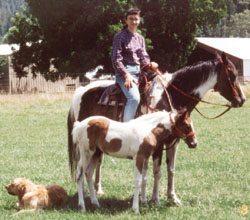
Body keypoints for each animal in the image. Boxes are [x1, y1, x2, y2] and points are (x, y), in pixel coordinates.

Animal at [67, 52, 245, 206]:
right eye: (231, 74)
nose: (242, 100)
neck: (170, 96)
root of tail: (80, 92)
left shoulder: (174, 141)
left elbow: (171, 169)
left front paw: (173, 197)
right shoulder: (158, 145)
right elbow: (157, 172)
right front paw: (155, 199)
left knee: (96, 163)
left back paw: (98, 190)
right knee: (81, 166)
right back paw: (84, 194)